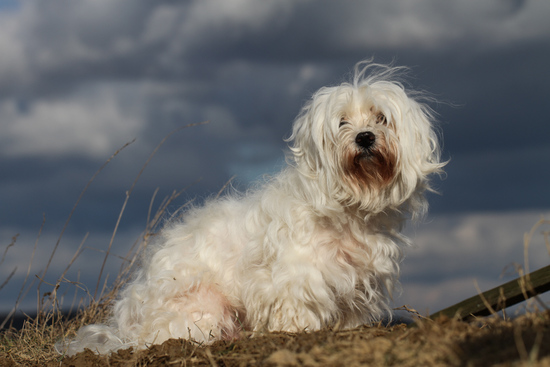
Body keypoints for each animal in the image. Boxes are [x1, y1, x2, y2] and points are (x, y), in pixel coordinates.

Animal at [60, 61, 446, 356]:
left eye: (381, 118)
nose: (365, 137)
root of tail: (126, 326)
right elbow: (296, 308)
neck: (348, 205)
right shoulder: (295, 277)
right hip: (206, 305)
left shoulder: (356, 282)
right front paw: (295, 333)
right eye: (341, 122)